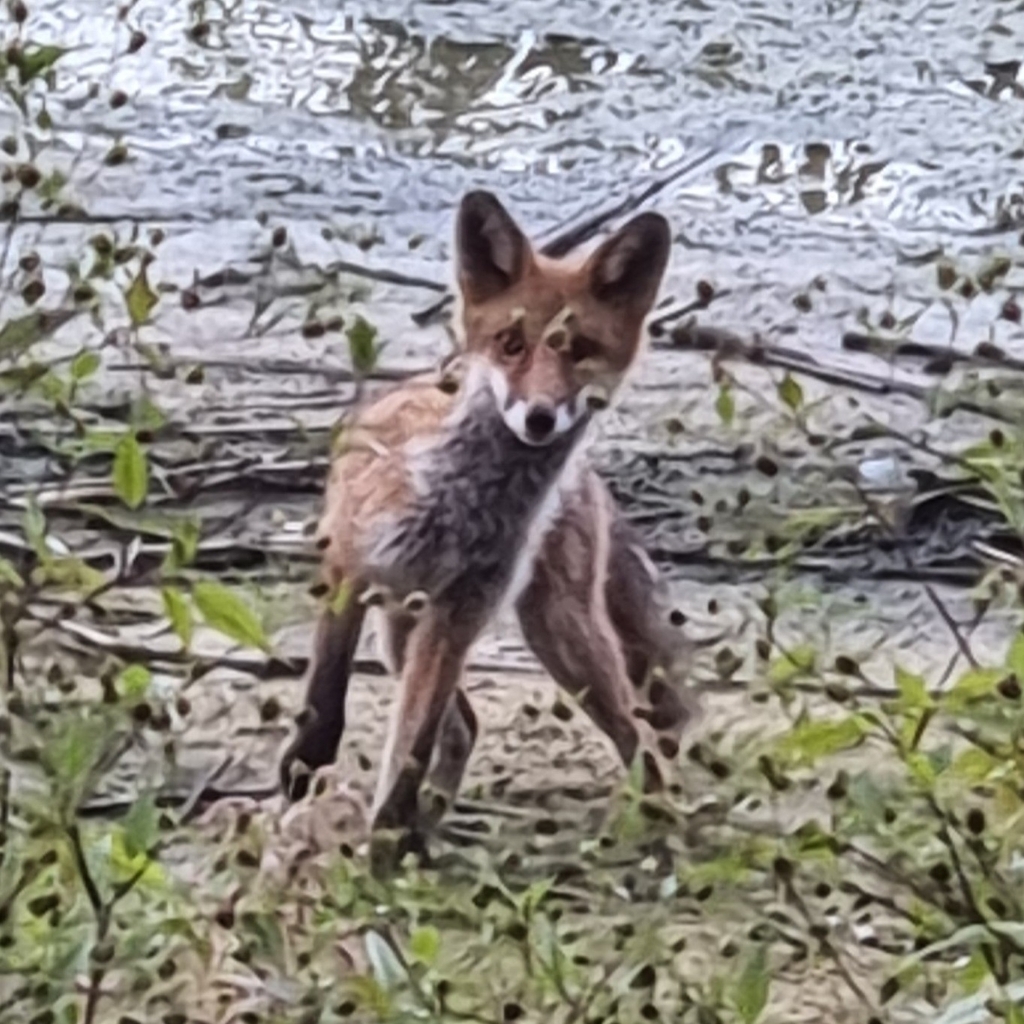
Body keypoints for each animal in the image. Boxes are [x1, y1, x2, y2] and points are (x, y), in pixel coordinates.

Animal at [279, 190, 696, 856]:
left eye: (580, 350)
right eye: (511, 343)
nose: (540, 418)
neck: (459, 509)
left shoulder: (458, 615)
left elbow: (413, 743)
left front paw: (388, 842)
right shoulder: (349, 568)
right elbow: (326, 697)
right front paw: (307, 772)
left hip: (561, 635)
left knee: (633, 738)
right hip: (400, 630)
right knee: (469, 724)